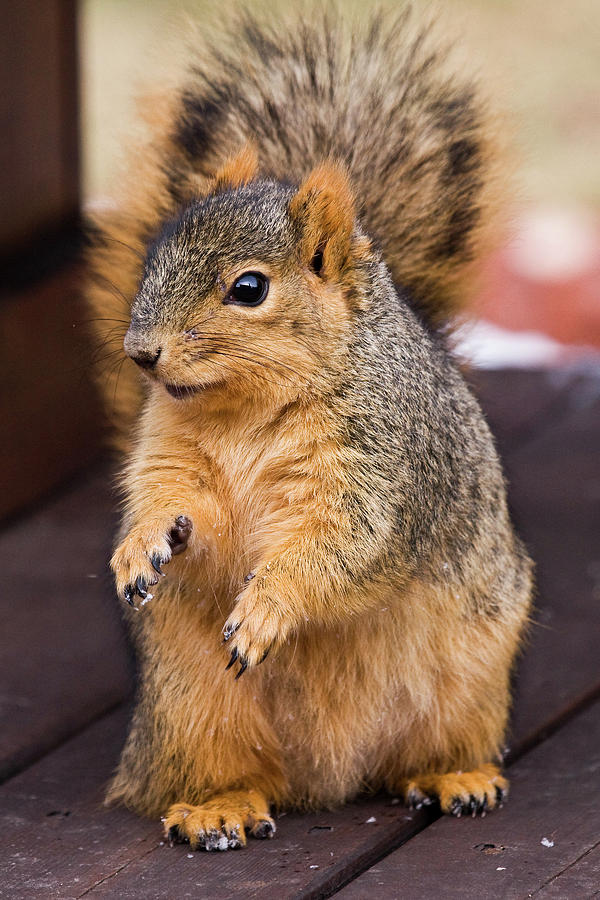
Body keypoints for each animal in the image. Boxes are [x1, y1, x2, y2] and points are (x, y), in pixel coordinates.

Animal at [86, 5, 532, 852]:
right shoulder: (173, 455)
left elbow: (341, 548)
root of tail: (329, 778)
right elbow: (171, 500)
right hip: (192, 708)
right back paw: (218, 808)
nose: (140, 353)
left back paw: (457, 777)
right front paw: (139, 547)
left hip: (470, 675)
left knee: (423, 755)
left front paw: (268, 607)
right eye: (155, 254)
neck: (244, 412)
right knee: (232, 773)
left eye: (249, 289)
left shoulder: (377, 470)